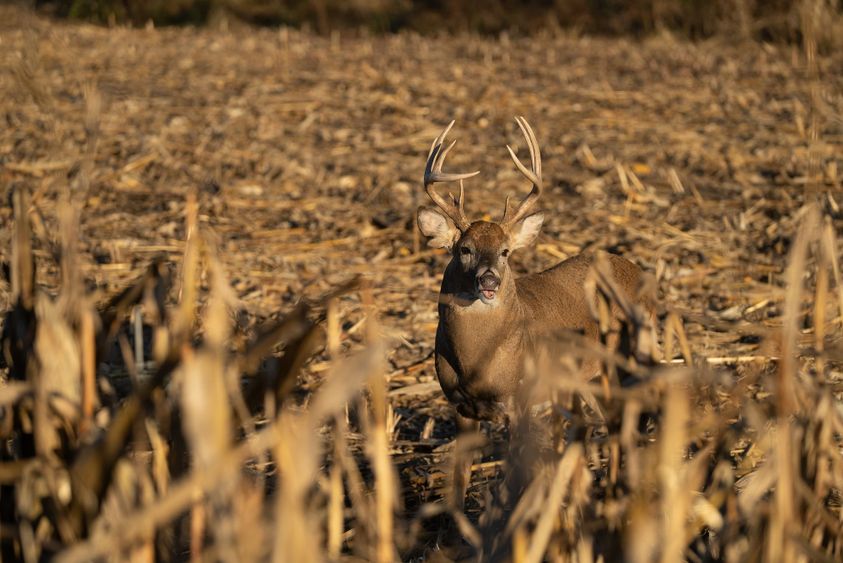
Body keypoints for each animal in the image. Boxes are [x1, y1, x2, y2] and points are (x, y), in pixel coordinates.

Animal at [417, 117, 652, 426]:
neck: (475, 368)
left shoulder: (519, 400)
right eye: (465, 249)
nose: (489, 279)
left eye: (505, 251)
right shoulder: (459, 406)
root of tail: (635, 269)